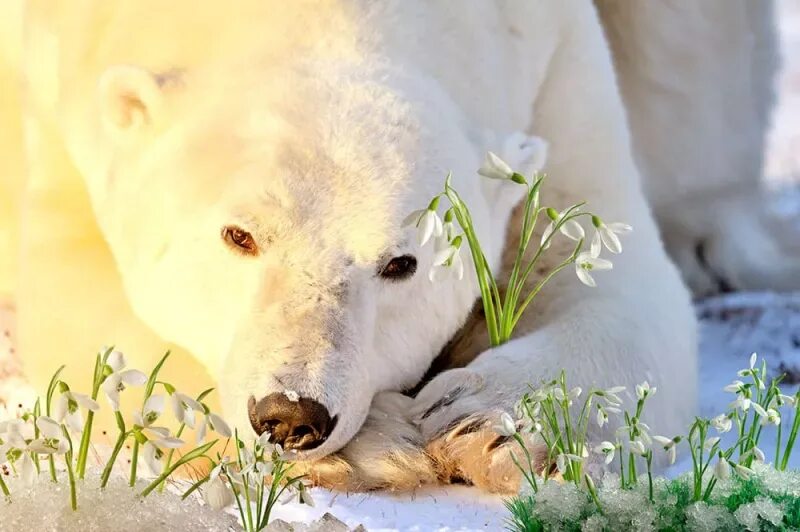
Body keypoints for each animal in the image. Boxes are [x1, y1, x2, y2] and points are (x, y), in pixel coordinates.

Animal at [0, 0, 792, 492]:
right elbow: (79, 296)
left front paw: (483, 425)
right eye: (238, 234)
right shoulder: (63, 88)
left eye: (400, 264)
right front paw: (386, 444)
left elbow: (615, 279)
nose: (291, 415)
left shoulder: (551, 65)